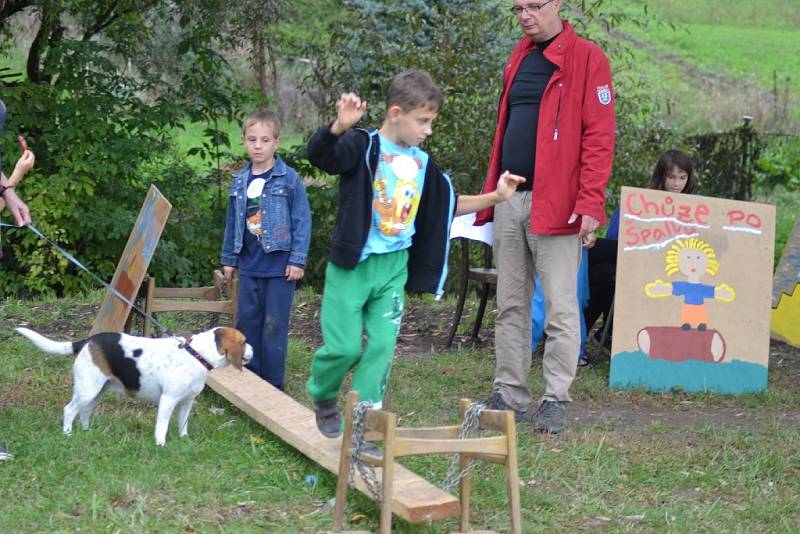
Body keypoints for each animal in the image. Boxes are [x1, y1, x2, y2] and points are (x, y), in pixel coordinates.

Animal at [16, 328, 253, 446]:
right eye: (244, 342)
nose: (253, 351)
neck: (196, 353)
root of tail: (86, 341)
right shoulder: (168, 400)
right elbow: (162, 427)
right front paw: (160, 445)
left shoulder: (186, 402)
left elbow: (182, 424)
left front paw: (184, 440)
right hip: (87, 389)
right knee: (69, 410)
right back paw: (67, 434)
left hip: (97, 391)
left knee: (84, 412)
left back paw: (86, 431)